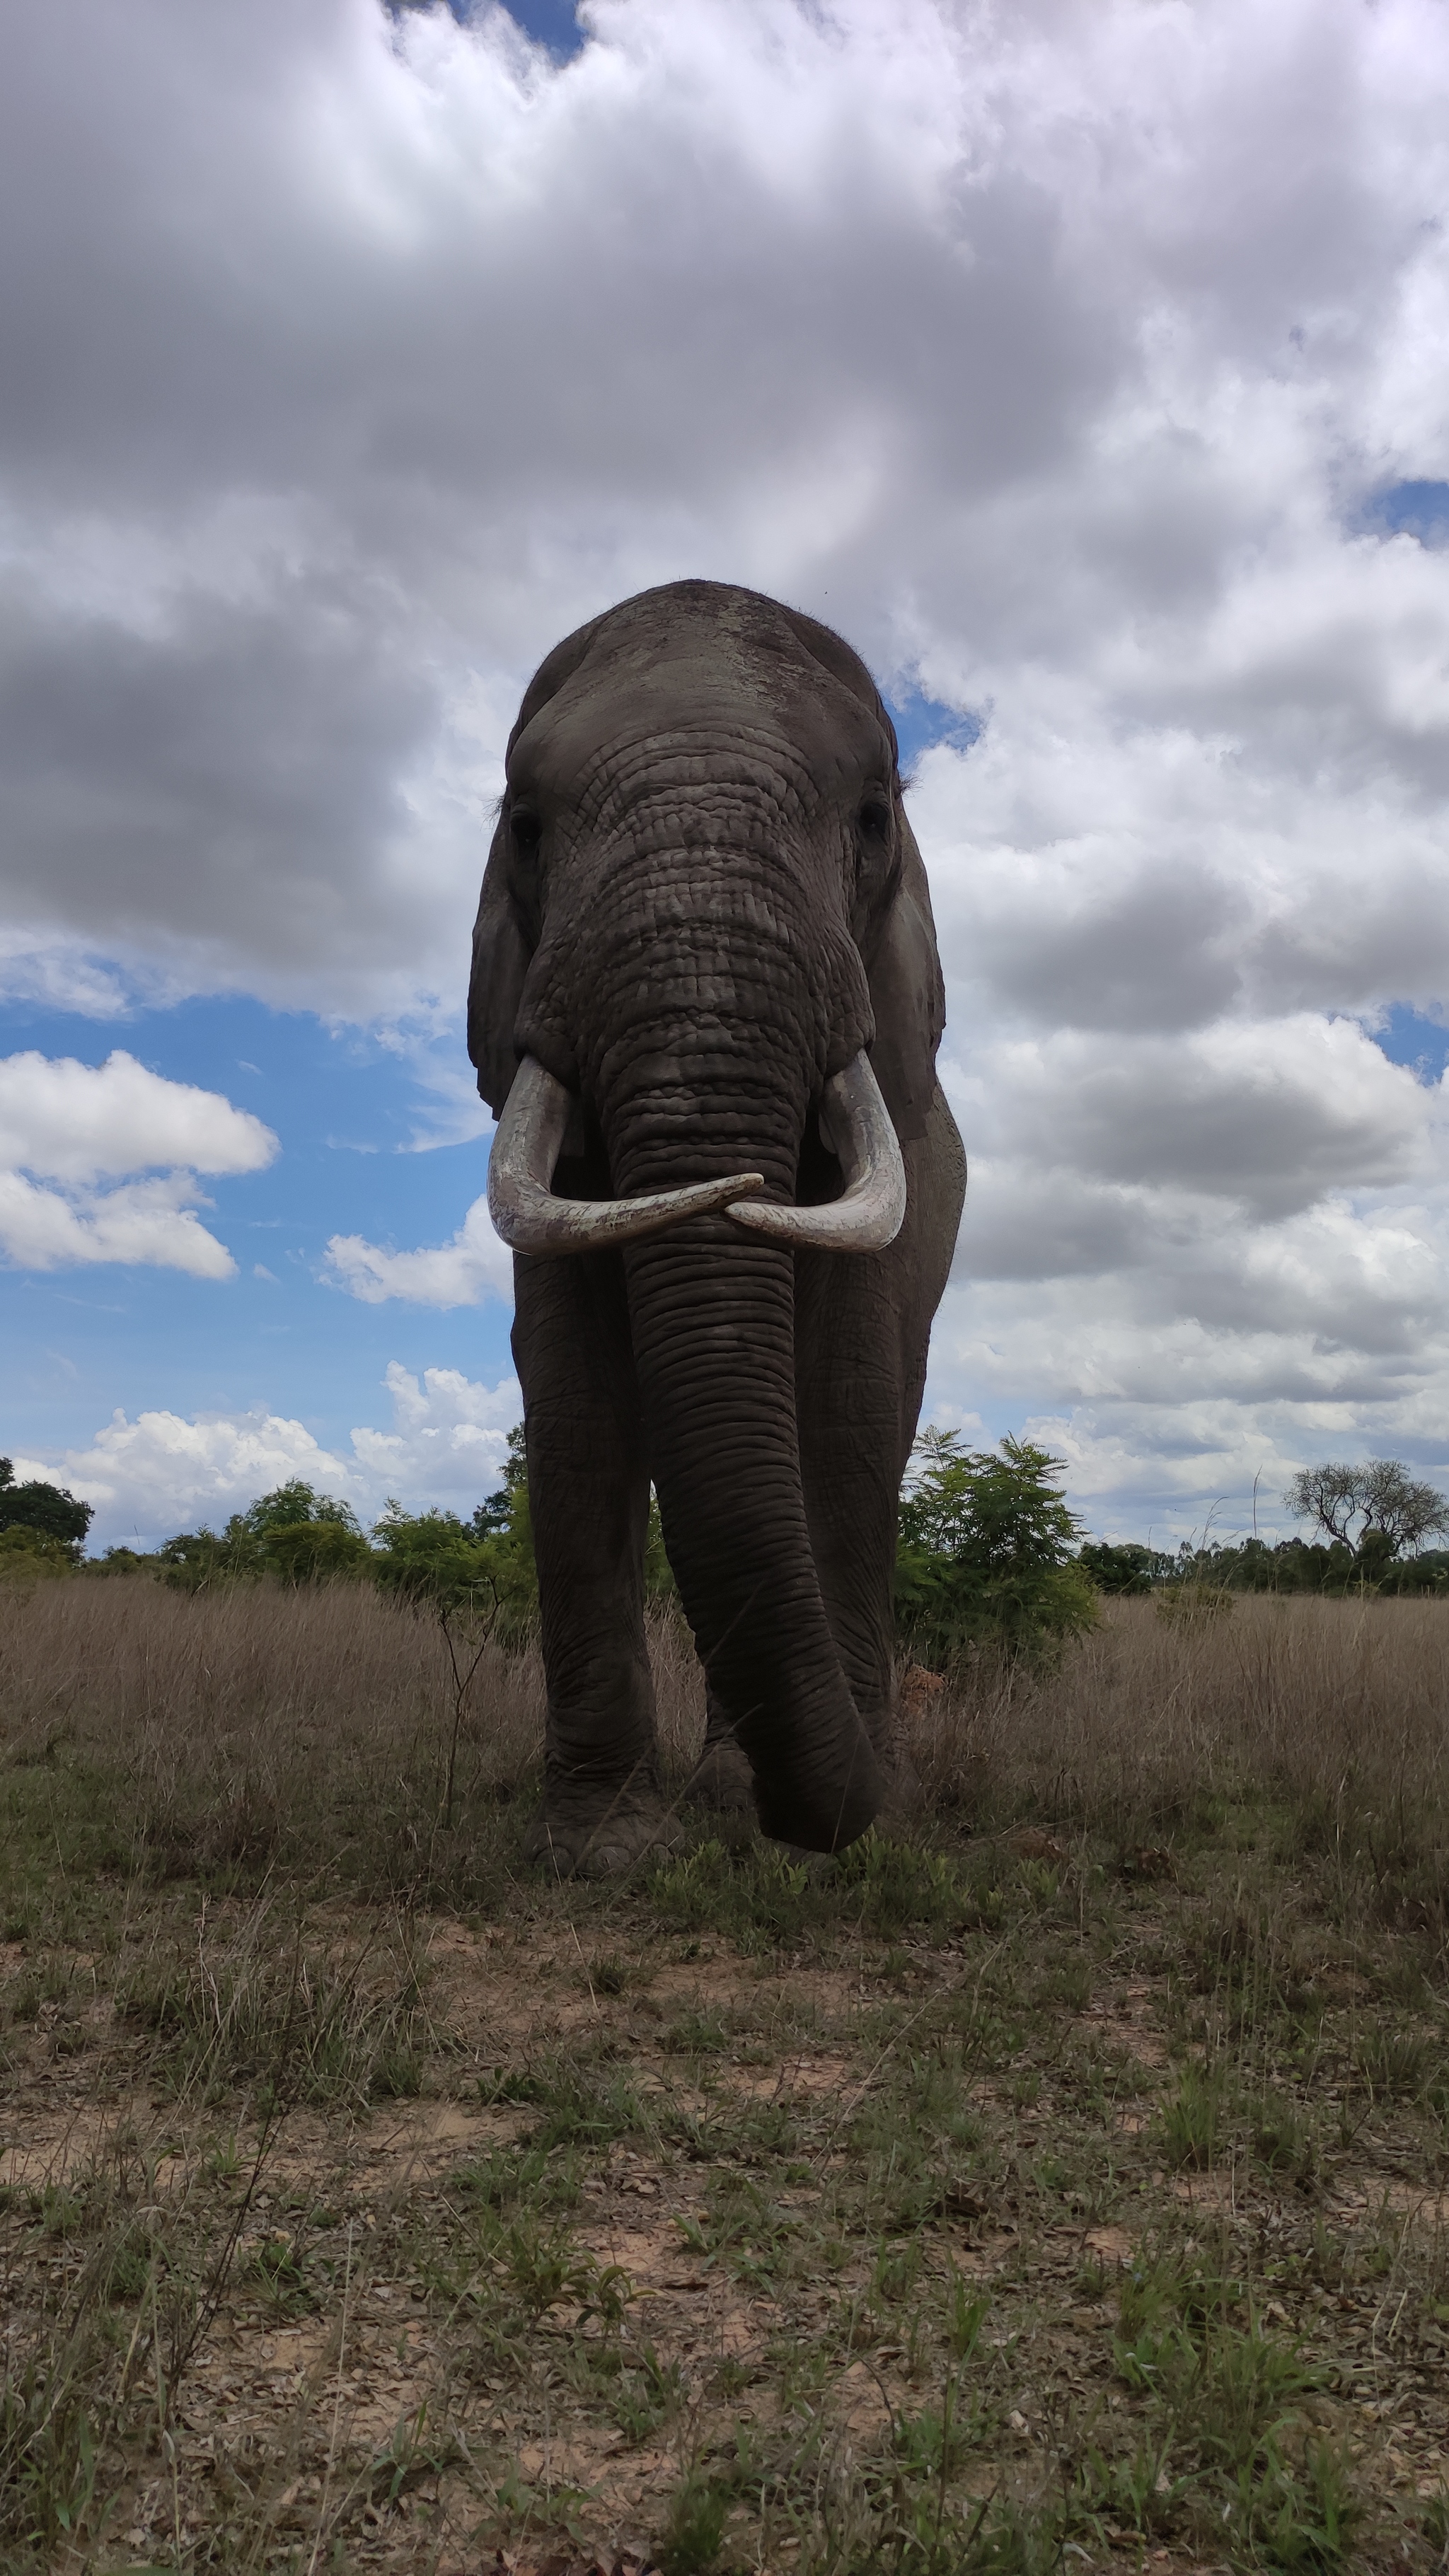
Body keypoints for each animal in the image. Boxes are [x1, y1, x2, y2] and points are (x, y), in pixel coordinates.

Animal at [469, 579, 959, 1875]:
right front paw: (600, 1848)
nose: (729, 1179)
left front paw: (795, 1831)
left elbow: (846, 1389)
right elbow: (571, 1387)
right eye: (524, 826)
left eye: (873, 818)